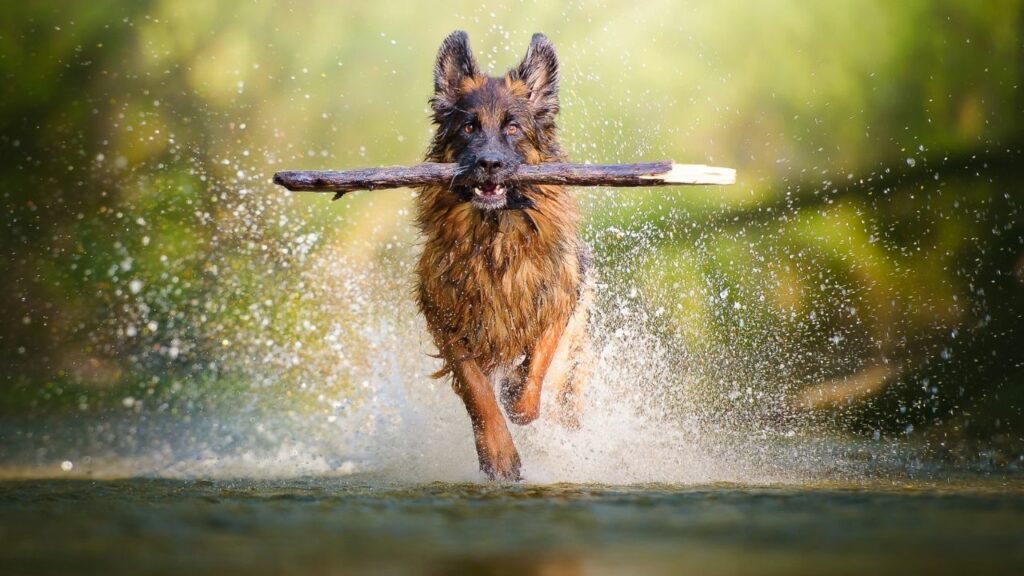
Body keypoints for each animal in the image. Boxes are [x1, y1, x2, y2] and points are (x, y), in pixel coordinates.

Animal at [415, 31, 593, 479]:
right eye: (468, 126)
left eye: (513, 127)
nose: (489, 164)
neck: (494, 238)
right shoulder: (444, 314)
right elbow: (476, 388)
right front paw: (497, 453)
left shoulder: (559, 297)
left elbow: (540, 362)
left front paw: (518, 397)